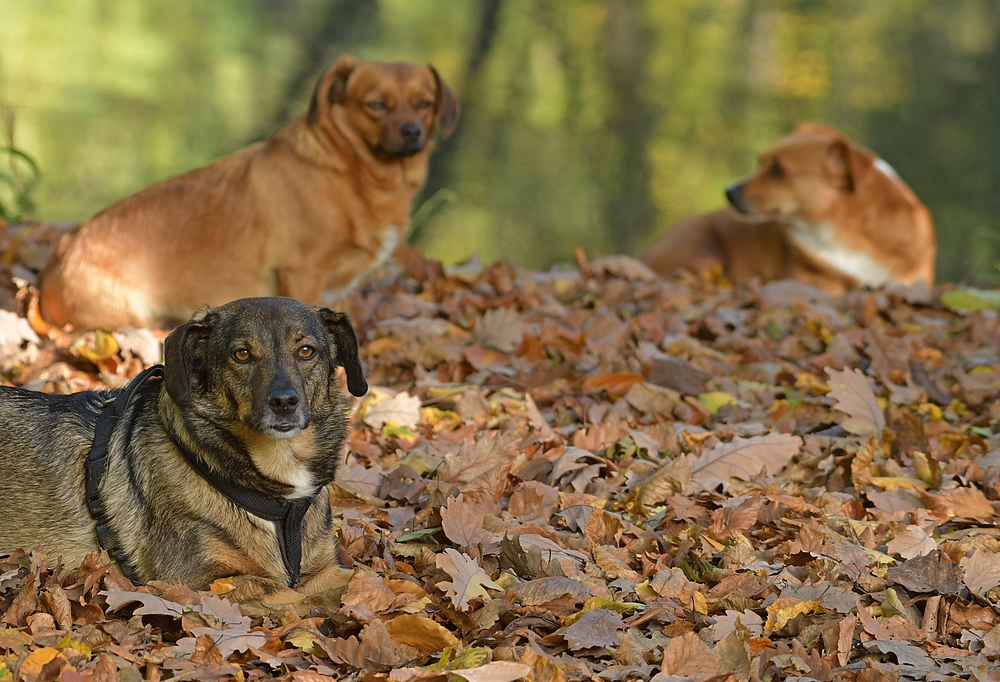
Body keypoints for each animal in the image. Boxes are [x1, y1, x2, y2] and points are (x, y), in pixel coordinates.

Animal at [0, 294, 368, 596]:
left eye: (306, 351)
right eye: (242, 354)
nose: (284, 402)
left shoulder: (325, 567)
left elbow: (357, 577)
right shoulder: (200, 581)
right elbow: (295, 596)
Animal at [39, 54, 458, 328]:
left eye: (425, 104)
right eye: (376, 105)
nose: (412, 132)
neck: (354, 170)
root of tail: (59, 254)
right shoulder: (303, 273)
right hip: (132, 316)